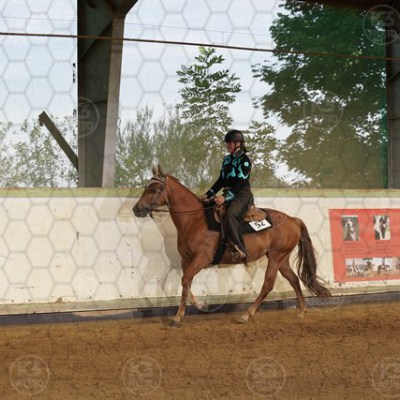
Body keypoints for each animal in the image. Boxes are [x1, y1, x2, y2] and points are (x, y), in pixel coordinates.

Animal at [133, 164, 331, 326]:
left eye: (154, 188)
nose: (136, 209)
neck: (195, 219)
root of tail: (293, 220)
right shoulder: (186, 260)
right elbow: (186, 282)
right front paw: (200, 306)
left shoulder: (202, 258)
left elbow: (185, 280)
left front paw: (178, 317)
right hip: (282, 258)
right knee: (294, 279)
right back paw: (301, 311)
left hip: (276, 257)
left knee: (268, 285)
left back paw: (246, 315)